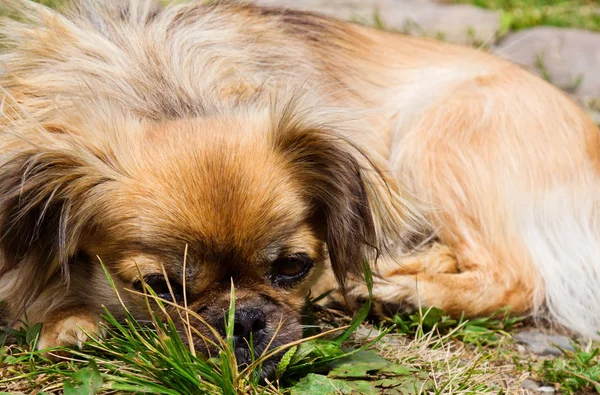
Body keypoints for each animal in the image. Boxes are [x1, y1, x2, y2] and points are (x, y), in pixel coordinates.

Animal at [1, 0, 600, 376]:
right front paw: (72, 324)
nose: (244, 320)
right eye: (160, 287)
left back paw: (393, 293)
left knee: (515, 277)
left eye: (293, 267)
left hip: (440, 134)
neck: (166, 95)